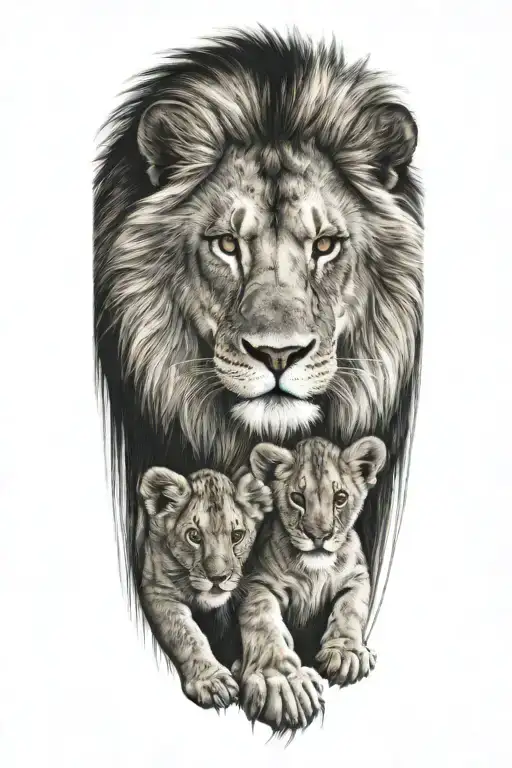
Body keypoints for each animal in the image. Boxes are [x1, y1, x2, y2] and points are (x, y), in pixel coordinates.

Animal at [137, 465, 272, 709]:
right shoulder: (158, 590)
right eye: (194, 536)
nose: (218, 577)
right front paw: (213, 682)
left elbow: (261, 617)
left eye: (237, 536)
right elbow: (186, 634)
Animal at [236, 436, 386, 731]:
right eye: (297, 498)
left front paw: (346, 653)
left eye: (340, 498)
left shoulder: (358, 576)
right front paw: (282, 684)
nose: (319, 535)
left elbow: (351, 609)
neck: (315, 571)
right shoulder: (258, 582)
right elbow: (263, 621)